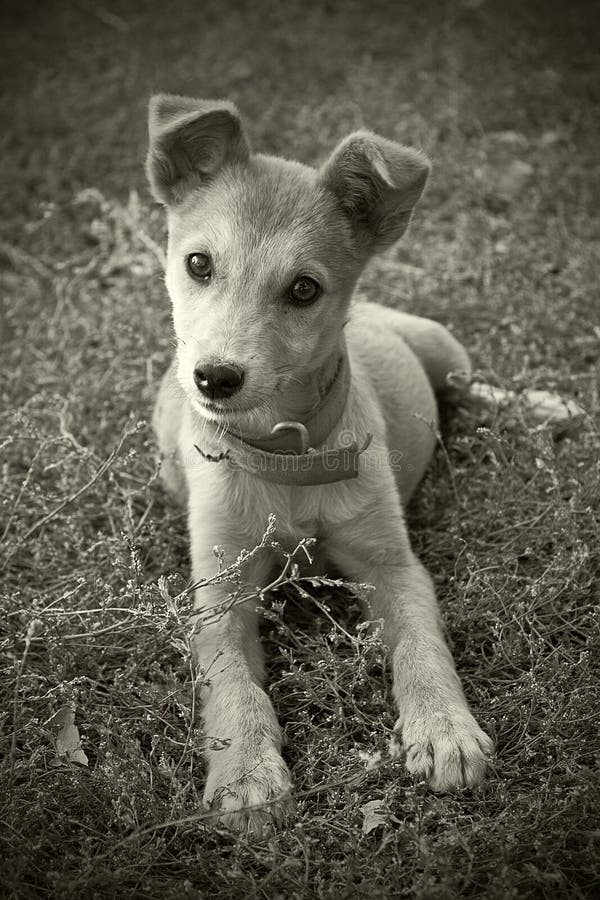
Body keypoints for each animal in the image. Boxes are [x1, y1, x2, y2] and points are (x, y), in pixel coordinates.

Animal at [145, 93, 492, 836]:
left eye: (304, 289)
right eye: (198, 264)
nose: (215, 378)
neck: (285, 457)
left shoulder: (393, 565)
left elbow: (422, 645)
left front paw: (444, 728)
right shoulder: (220, 591)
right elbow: (231, 680)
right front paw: (246, 771)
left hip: (446, 350)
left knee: (476, 388)